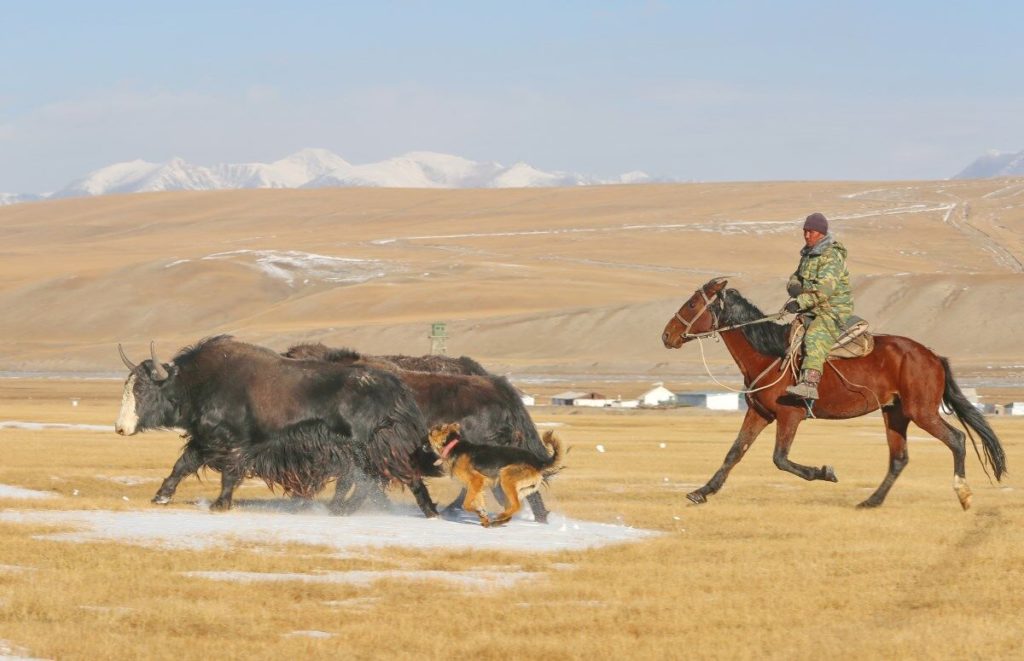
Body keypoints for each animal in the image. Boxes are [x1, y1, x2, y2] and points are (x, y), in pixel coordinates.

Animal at [428, 425, 565, 527]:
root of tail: (538, 462)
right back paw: (498, 521)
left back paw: (500, 516)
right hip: (515, 490)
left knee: (516, 506)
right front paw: (484, 518)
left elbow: (466, 504)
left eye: (433, 431)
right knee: (511, 510)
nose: (429, 429)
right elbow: (479, 503)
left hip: (506, 479)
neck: (452, 446)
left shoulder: (476, 480)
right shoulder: (477, 486)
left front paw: (480, 513)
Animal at [659, 276, 1003, 509]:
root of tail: (933, 357)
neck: (768, 353)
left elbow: (780, 459)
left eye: (692, 304)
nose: (666, 335)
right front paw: (701, 491)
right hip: (895, 412)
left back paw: (963, 494)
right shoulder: (760, 413)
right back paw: (871, 501)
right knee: (899, 458)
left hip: (922, 411)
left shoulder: (790, 415)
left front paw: (825, 472)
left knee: (956, 439)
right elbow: (734, 452)